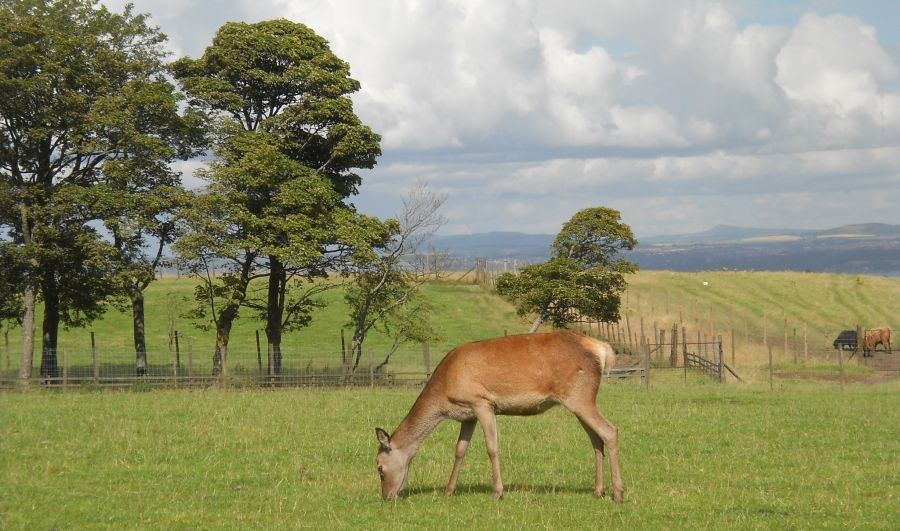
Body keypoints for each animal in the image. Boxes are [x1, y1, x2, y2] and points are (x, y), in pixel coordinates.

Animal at [376, 332, 624, 502]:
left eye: (379, 467)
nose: (387, 496)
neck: (444, 396)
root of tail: (602, 349)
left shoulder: (482, 402)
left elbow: (492, 447)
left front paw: (498, 492)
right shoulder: (467, 415)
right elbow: (460, 450)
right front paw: (449, 490)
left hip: (579, 396)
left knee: (610, 431)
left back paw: (618, 493)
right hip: (579, 401)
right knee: (596, 439)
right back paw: (598, 491)